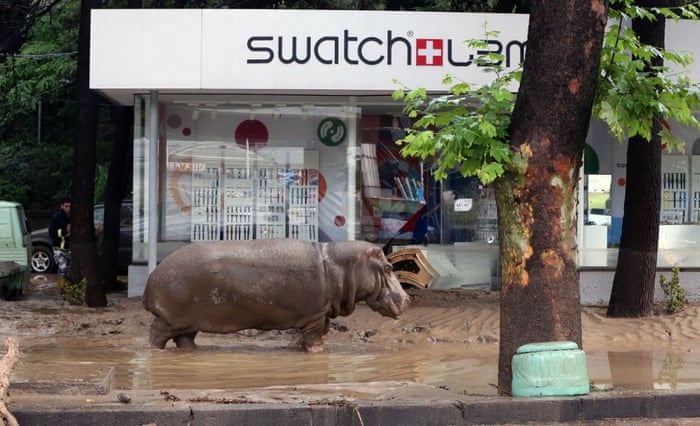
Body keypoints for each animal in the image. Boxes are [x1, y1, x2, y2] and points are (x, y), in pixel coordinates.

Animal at [143, 239, 410, 352]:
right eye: (389, 267)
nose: (408, 299)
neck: (341, 265)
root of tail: (153, 276)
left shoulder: (322, 314)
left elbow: (319, 334)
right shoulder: (316, 315)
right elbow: (314, 338)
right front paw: (317, 353)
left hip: (188, 322)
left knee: (185, 340)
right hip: (171, 319)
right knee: (156, 335)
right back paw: (155, 352)